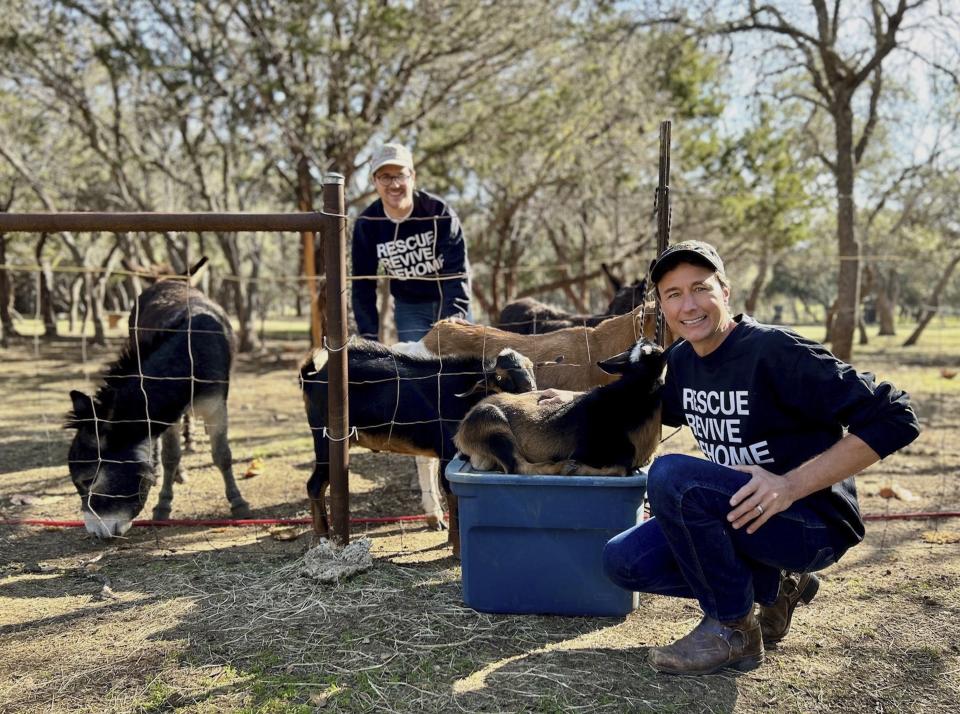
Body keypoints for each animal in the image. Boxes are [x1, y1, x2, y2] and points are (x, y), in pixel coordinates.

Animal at [300, 340, 536, 556]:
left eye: (530, 370)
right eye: (501, 378)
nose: (530, 390)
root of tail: (313, 377)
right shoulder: (448, 452)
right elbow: (452, 494)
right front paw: (458, 550)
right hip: (326, 439)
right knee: (315, 484)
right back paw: (323, 537)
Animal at [452, 338, 664, 476]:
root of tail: (461, 433)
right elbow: (620, 470)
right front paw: (576, 468)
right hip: (494, 428)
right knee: (517, 467)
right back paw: (562, 466)